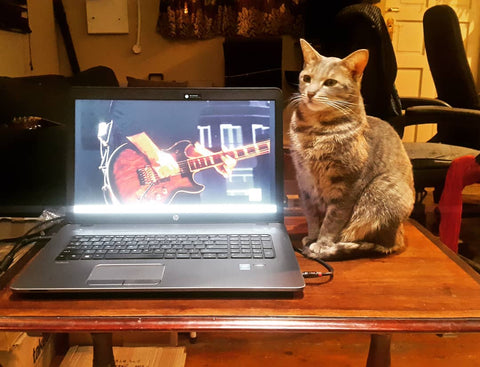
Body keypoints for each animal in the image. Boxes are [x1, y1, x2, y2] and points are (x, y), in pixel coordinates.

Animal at [288, 38, 416, 260]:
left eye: (330, 83)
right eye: (306, 78)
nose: (310, 93)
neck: (315, 133)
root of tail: (400, 233)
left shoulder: (347, 185)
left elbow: (332, 220)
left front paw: (322, 243)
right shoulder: (305, 181)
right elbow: (312, 215)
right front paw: (312, 236)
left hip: (381, 191)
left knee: (379, 242)